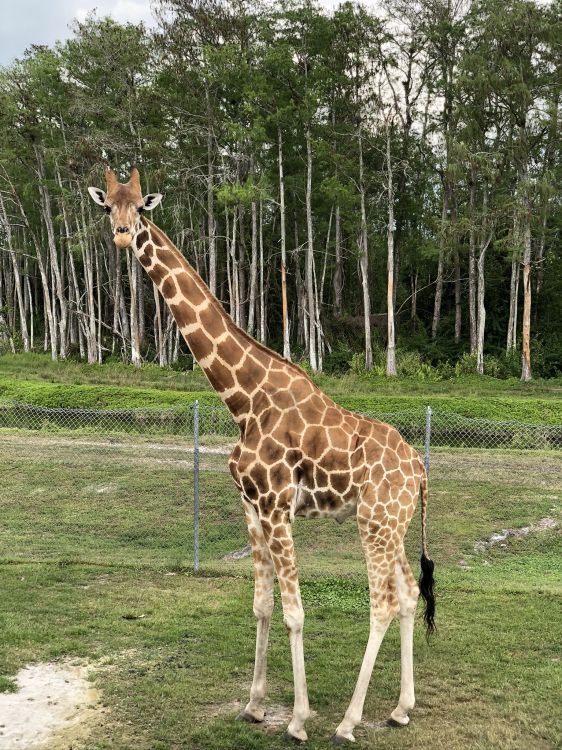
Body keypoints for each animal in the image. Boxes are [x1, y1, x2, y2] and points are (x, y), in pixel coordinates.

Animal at [88, 166, 436, 743]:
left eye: (140, 207)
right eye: (106, 205)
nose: (119, 235)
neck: (242, 399)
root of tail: (422, 471)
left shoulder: (276, 506)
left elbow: (296, 611)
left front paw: (297, 719)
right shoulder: (250, 507)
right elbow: (262, 604)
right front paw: (253, 705)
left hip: (377, 522)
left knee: (384, 602)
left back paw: (348, 721)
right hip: (393, 521)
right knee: (408, 594)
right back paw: (400, 709)